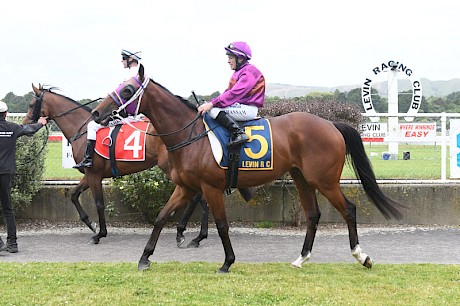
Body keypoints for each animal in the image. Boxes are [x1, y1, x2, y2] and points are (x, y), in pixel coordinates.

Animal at [22, 83, 250, 246]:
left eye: (31, 104)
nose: (24, 124)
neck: (84, 131)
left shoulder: (94, 174)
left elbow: (99, 203)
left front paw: (99, 233)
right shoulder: (89, 174)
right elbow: (73, 195)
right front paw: (91, 224)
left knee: (197, 199)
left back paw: (188, 233)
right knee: (198, 199)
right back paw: (194, 234)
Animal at [90, 76, 402, 272]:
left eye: (127, 90)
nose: (96, 113)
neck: (190, 135)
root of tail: (331, 125)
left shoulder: (211, 187)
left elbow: (222, 225)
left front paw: (227, 262)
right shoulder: (185, 188)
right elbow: (160, 218)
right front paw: (145, 258)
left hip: (324, 180)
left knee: (349, 209)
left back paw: (361, 256)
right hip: (301, 178)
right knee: (313, 214)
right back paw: (301, 259)